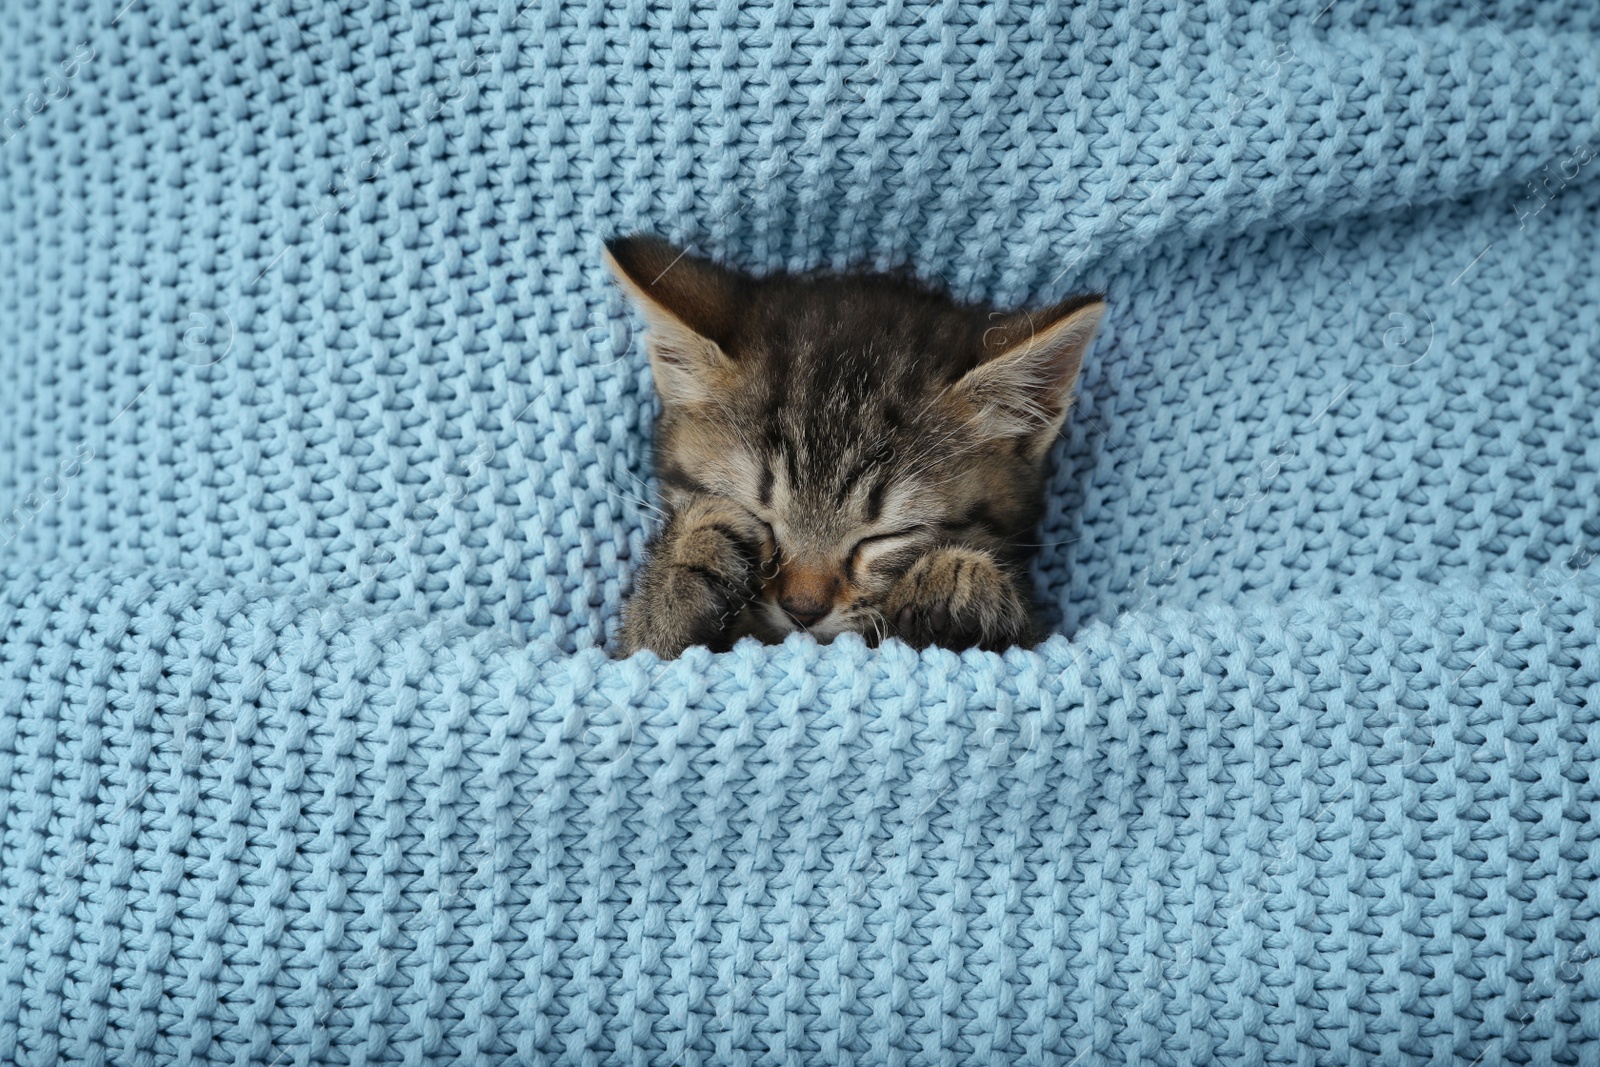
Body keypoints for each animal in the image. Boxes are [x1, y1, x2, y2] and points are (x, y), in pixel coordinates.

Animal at [604, 233, 1107, 659]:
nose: (802, 610)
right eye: (759, 517)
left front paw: (965, 588)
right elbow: (644, 653)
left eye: (884, 537)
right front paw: (690, 557)